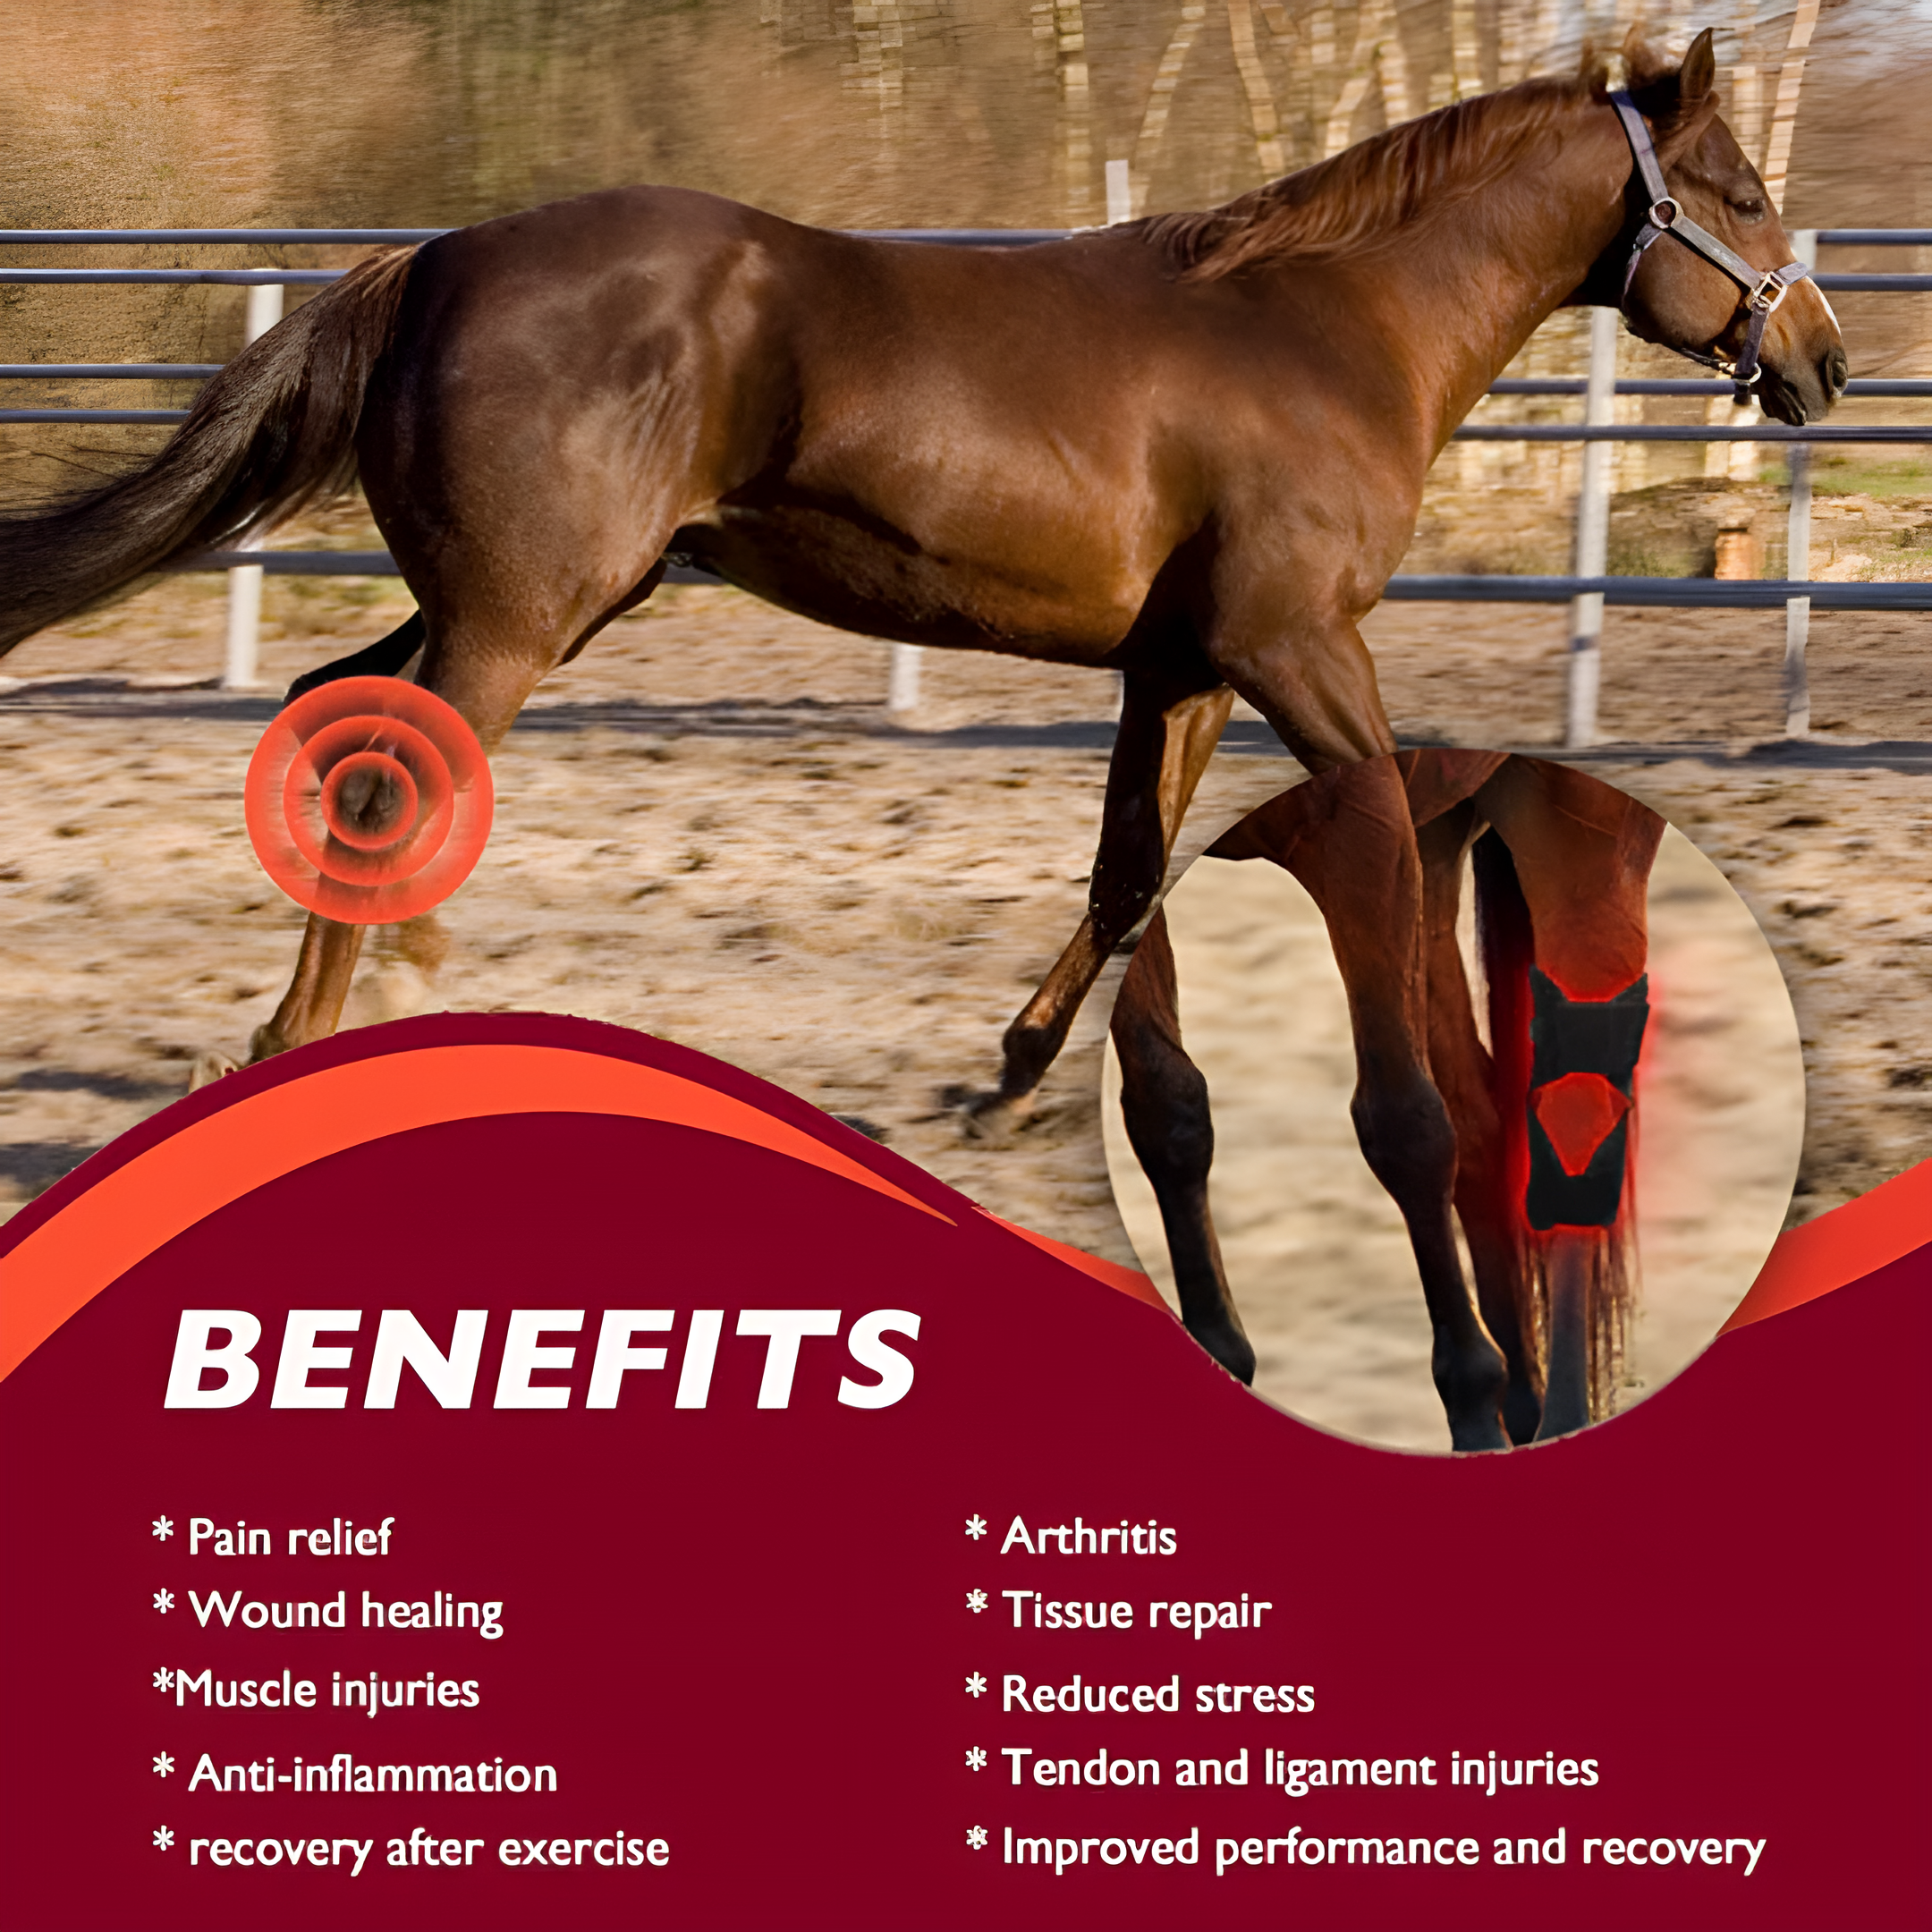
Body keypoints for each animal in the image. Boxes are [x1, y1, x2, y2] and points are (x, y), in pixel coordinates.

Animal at [0, 30, 1842, 1115]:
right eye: (1744, 191)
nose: (1820, 362)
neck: (1321, 329)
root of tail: (432, 258)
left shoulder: (1182, 664)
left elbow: (1128, 873)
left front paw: (1014, 1074)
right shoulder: (1295, 645)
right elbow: (1383, 834)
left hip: (530, 605)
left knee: (341, 719)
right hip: (520, 619)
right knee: (389, 778)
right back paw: (312, 1041)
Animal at [1111, 751, 1666, 1451]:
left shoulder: (1360, 828)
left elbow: (1405, 1129)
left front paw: (1473, 1409)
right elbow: (1167, 1107)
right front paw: (1219, 1353)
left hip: (1576, 841)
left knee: (1572, 1115)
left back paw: (1559, 1417)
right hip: (1433, 850)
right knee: (1481, 1120)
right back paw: (1525, 1405)